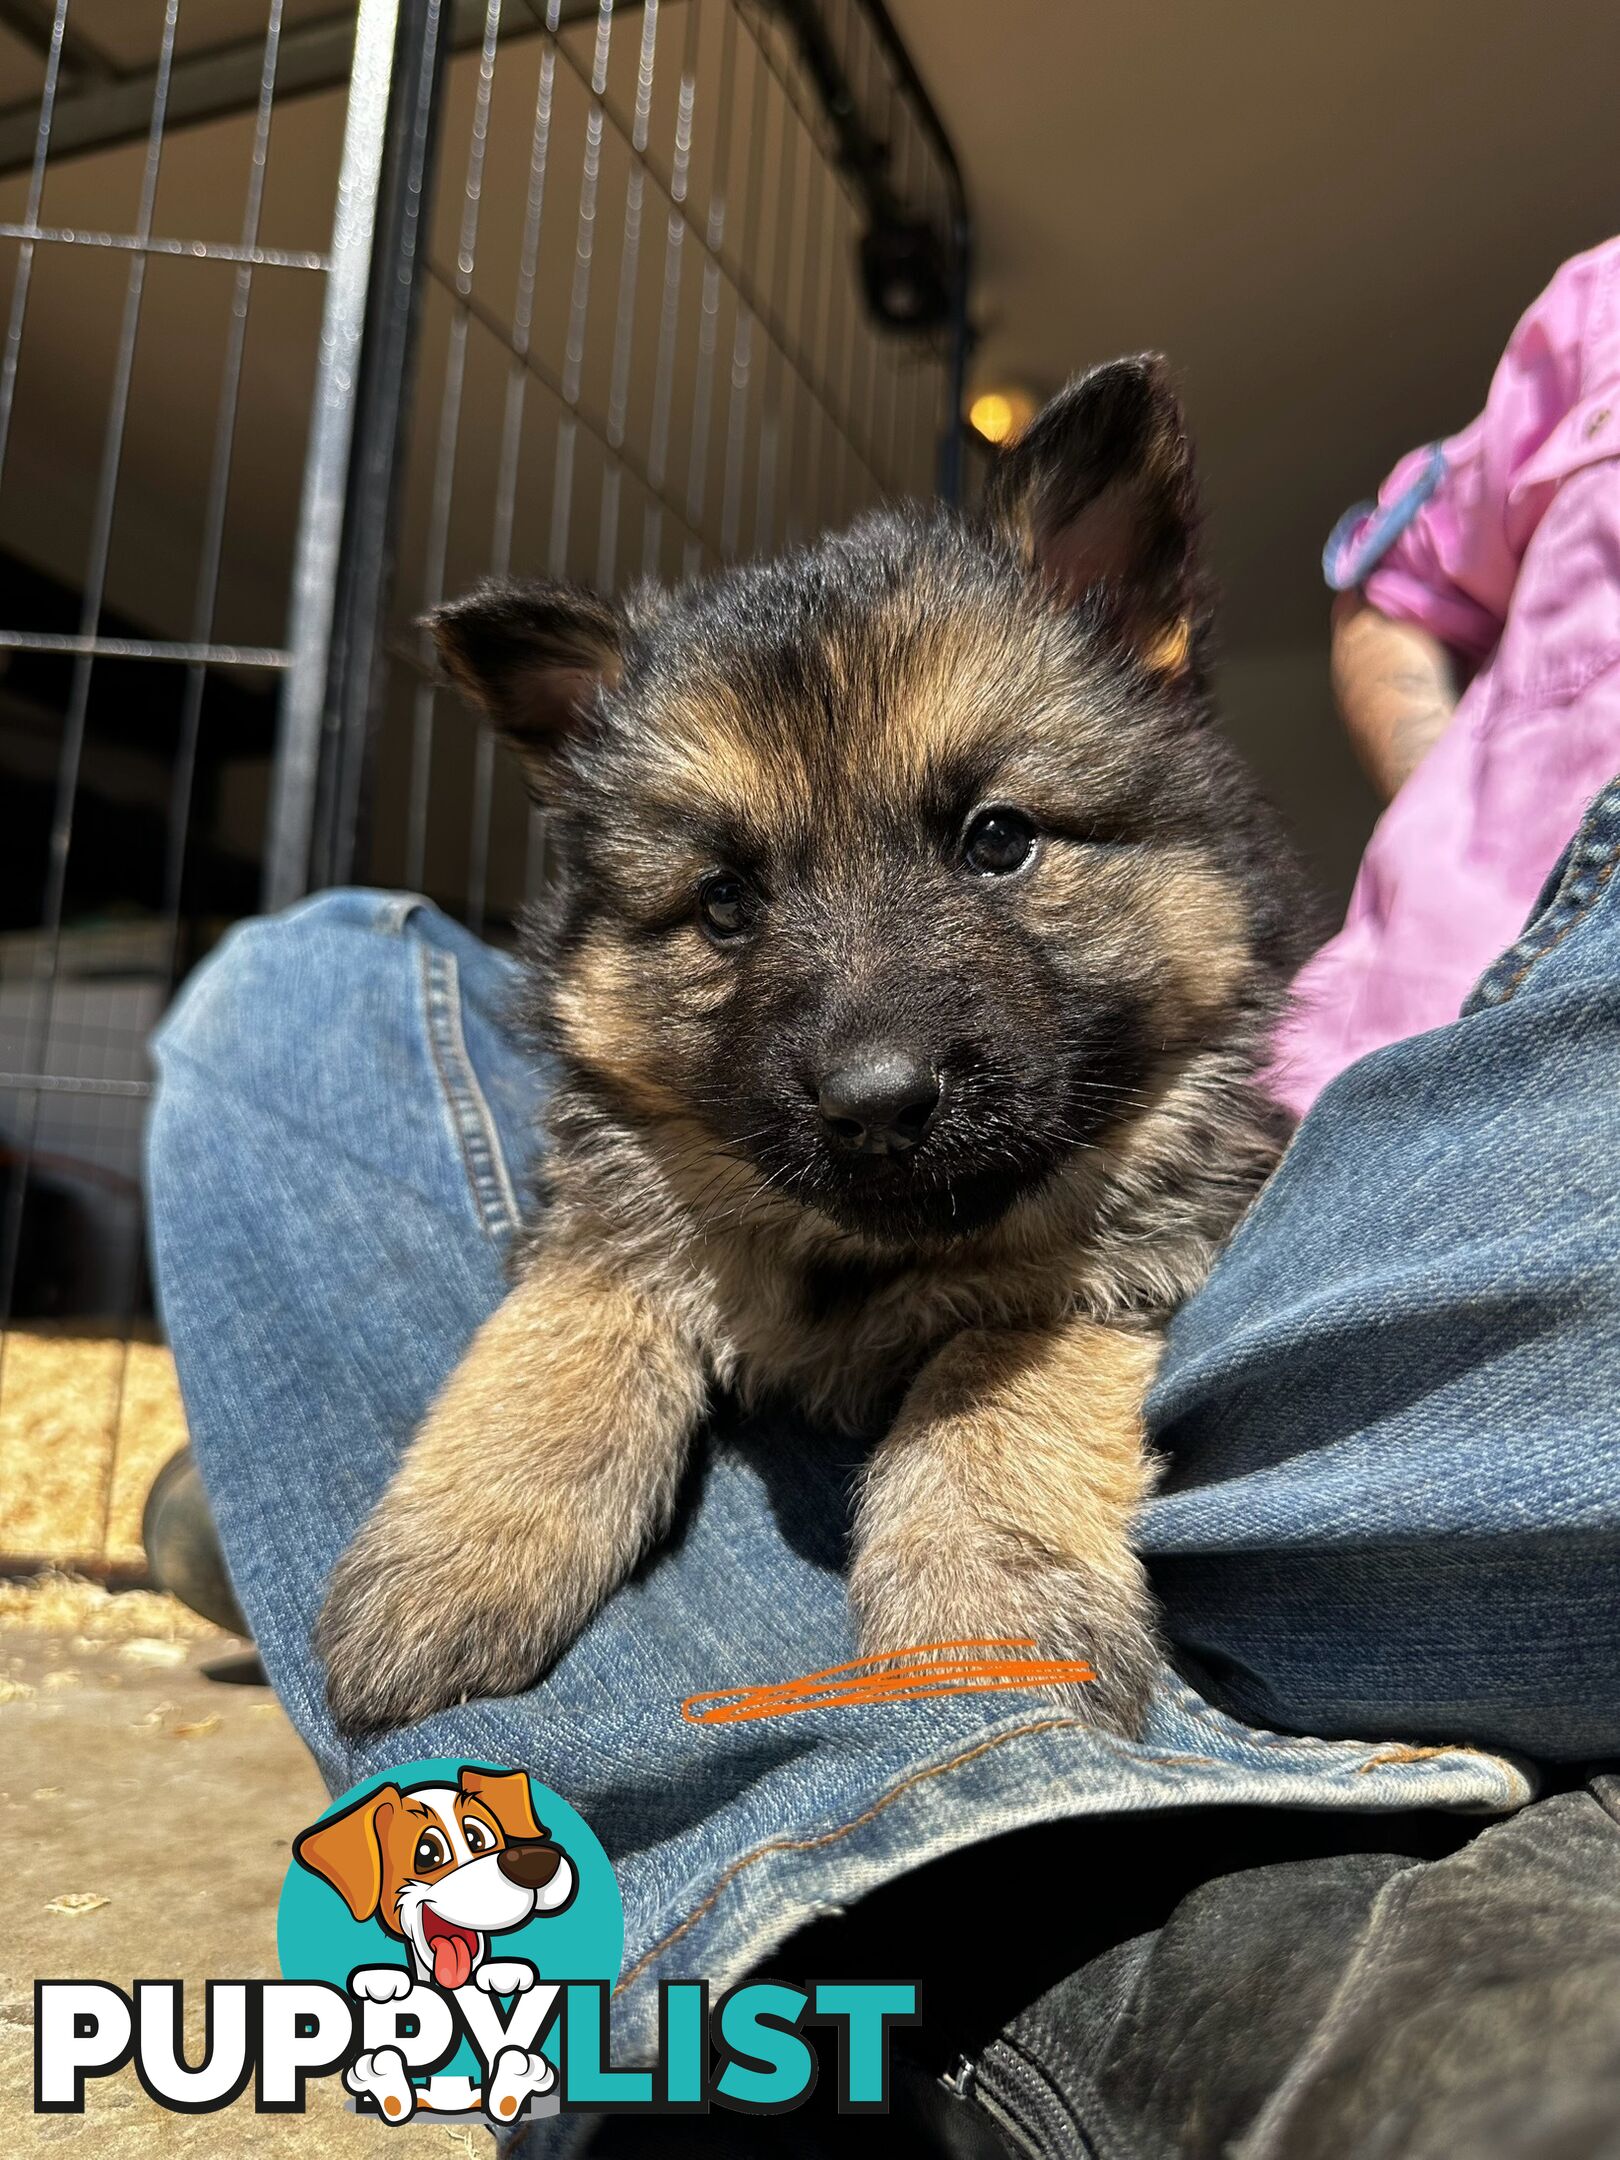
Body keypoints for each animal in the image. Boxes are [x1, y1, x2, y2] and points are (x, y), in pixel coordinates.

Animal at [317, 354, 1304, 1736]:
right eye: (726, 902)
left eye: (1000, 839)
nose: (876, 1104)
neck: (857, 1262)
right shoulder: (607, 1216)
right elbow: (562, 1334)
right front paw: (455, 1554)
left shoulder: (1146, 1253)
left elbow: (995, 1376)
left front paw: (984, 1608)